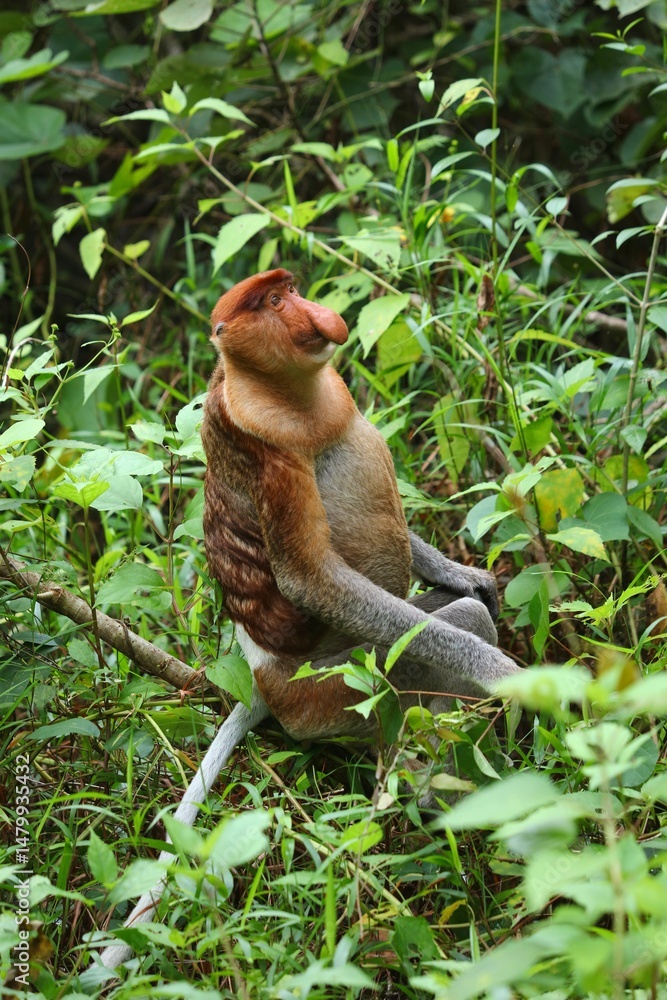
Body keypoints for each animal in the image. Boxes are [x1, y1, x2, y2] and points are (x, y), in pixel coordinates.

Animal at [95, 269, 520, 969]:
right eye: (272, 301)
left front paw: (469, 575)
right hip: (333, 690)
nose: (318, 313)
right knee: (441, 640)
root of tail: (261, 683)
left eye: (289, 288)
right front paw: (498, 665)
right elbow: (310, 577)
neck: (285, 391)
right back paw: (439, 803)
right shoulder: (270, 454)